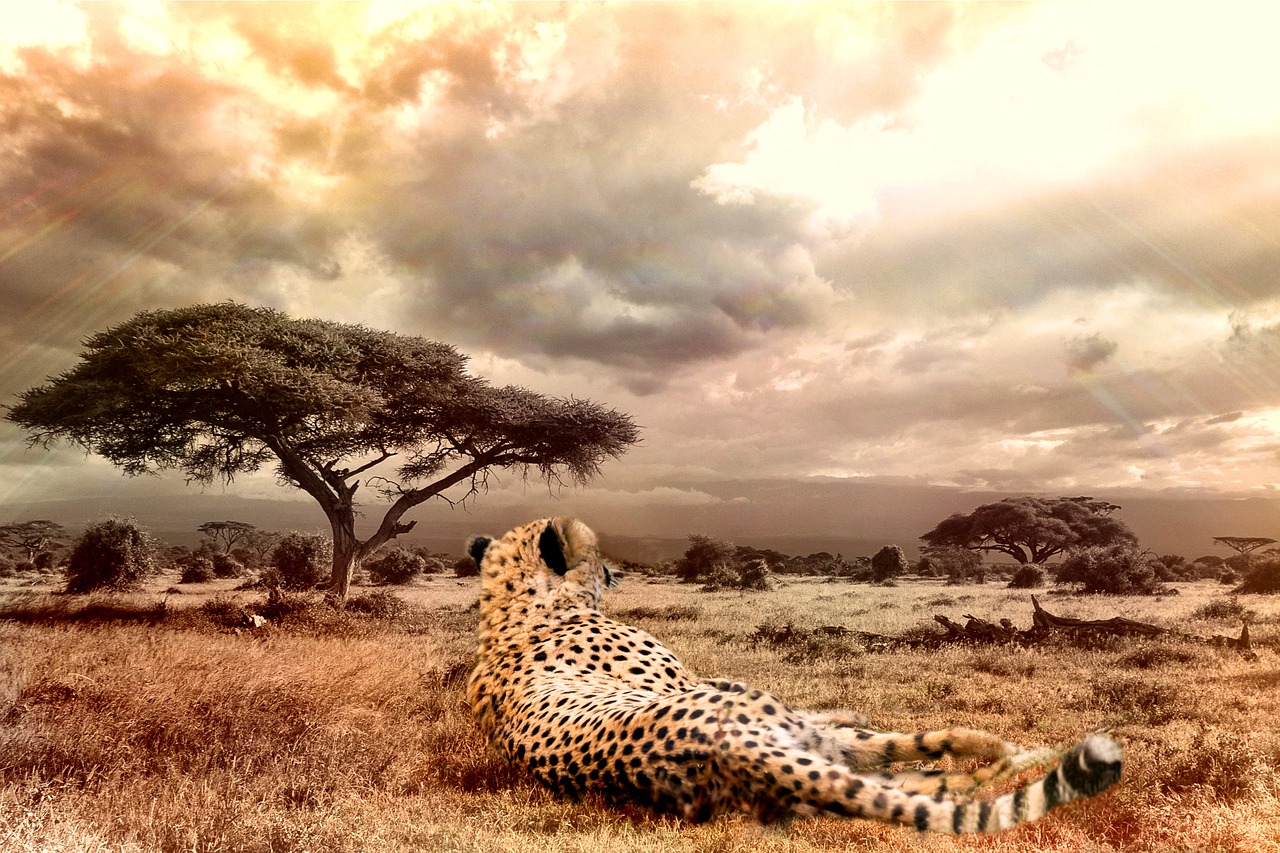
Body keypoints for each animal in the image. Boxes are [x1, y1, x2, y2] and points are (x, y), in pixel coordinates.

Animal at [466, 516, 1122, 833]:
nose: (617, 572)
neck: (512, 608)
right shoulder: (691, 682)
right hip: (781, 722)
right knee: (893, 752)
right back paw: (1005, 749)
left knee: (887, 766)